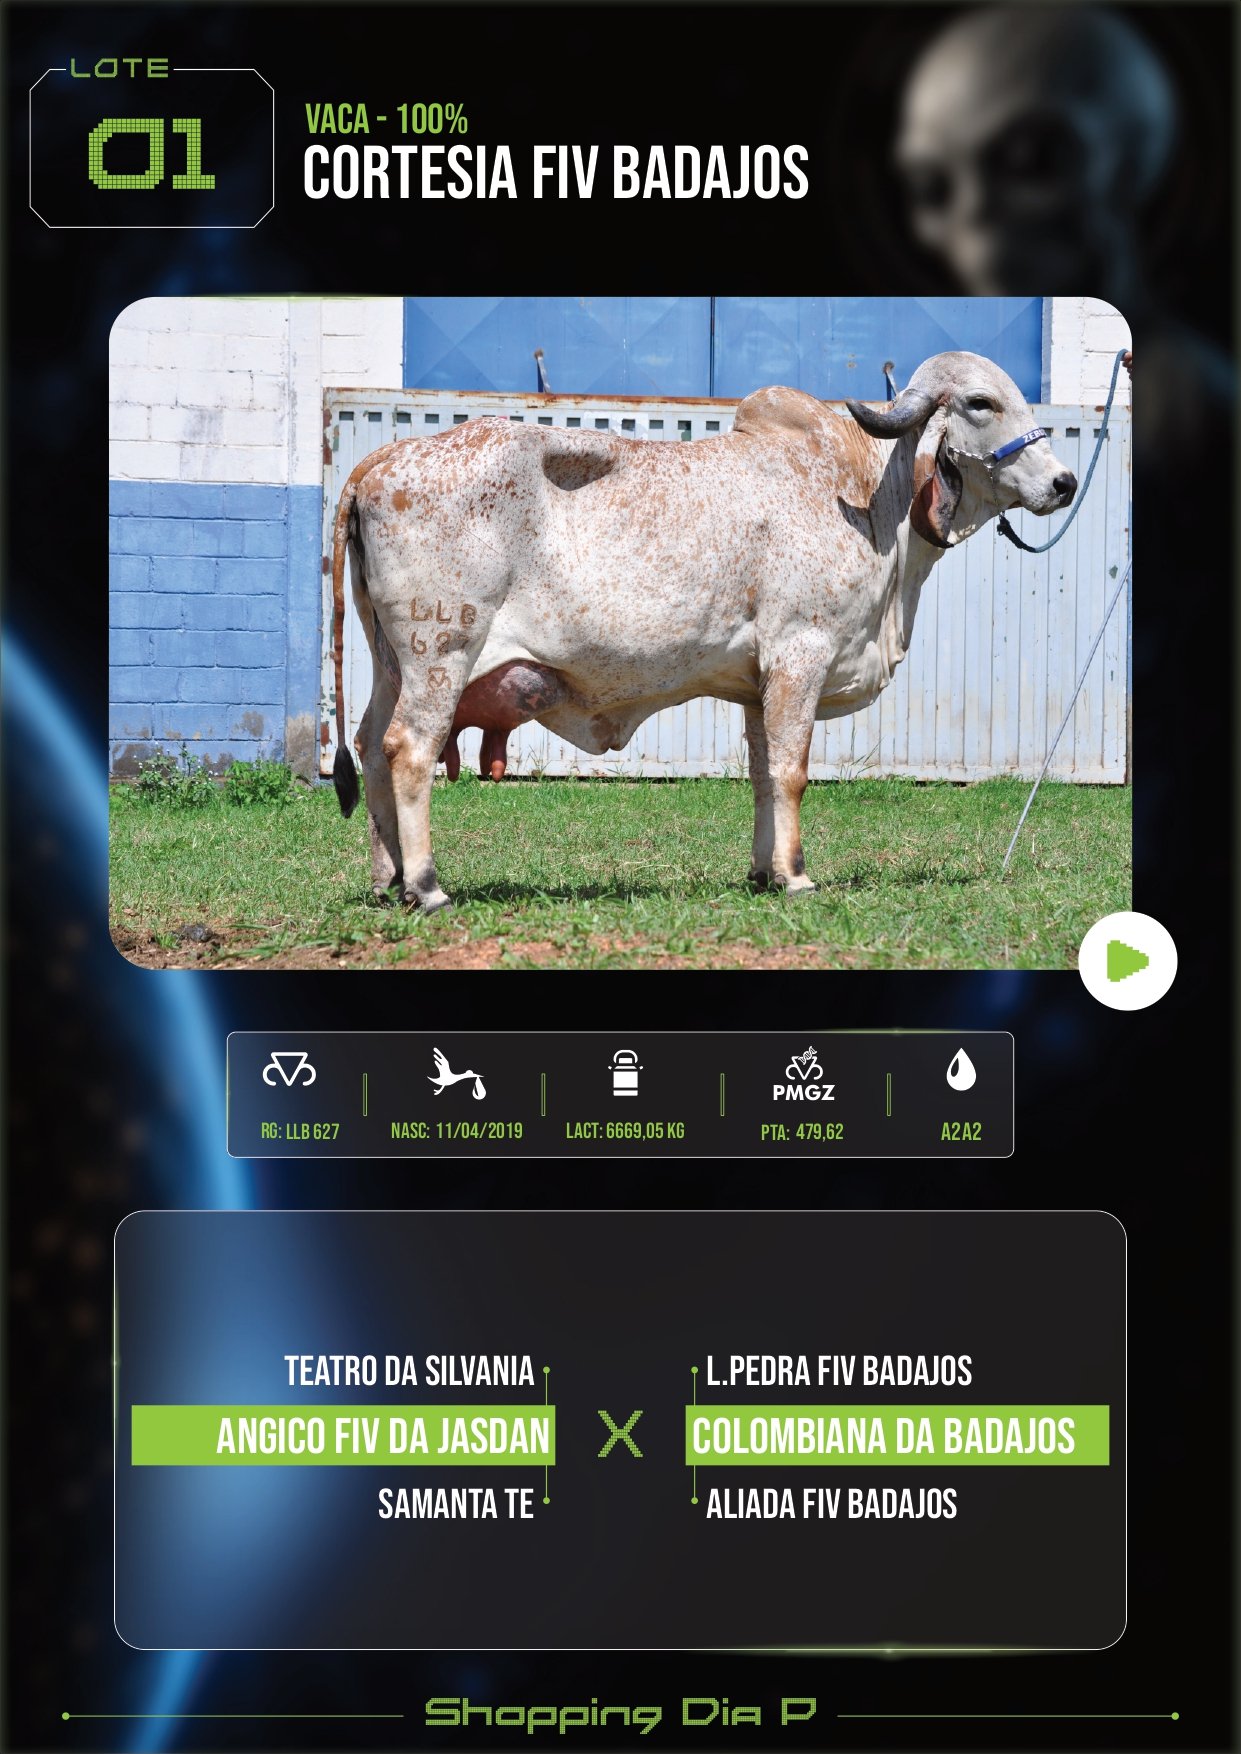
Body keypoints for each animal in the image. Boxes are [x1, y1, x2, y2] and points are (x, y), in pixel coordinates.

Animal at [329, 352, 1076, 912]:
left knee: (369, 744)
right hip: (441, 653)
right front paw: (797, 876)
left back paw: (388, 881)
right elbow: (792, 772)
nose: (1064, 482)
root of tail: (378, 463)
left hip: (391, 661)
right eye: (980, 402)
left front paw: (763, 872)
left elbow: (762, 775)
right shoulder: (800, 656)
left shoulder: (757, 686)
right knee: (408, 750)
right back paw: (427, 887)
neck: (867, 502)